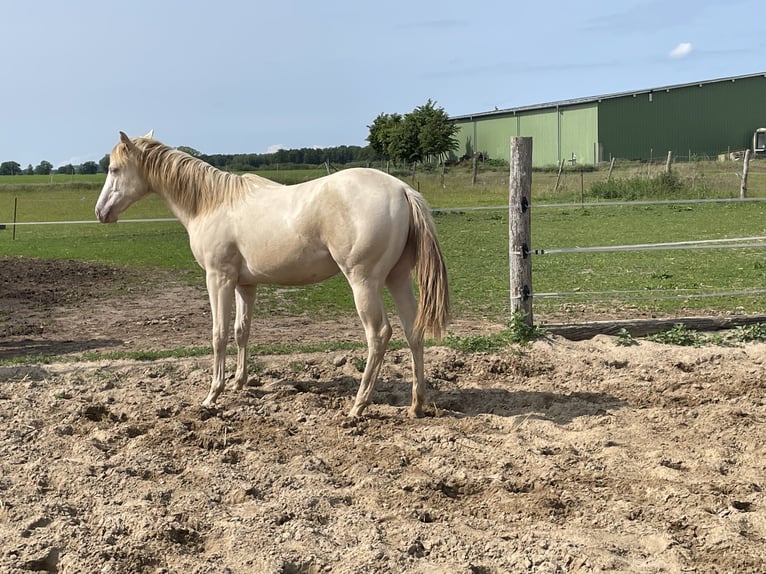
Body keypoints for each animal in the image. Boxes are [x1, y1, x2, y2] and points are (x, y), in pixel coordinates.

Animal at [95, 131, 450, 417]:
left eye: (114, 169)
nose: (101, 212)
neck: (211, 203)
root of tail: (401, 189)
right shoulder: (245, 285)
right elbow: (241, 332)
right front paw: (238, 383)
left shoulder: (218, 279)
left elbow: (218, 334)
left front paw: (212, 395)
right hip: (397, 279)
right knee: (413, 331)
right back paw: (416, 405)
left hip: (364, 283)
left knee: (379, 334)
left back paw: (358, 406)